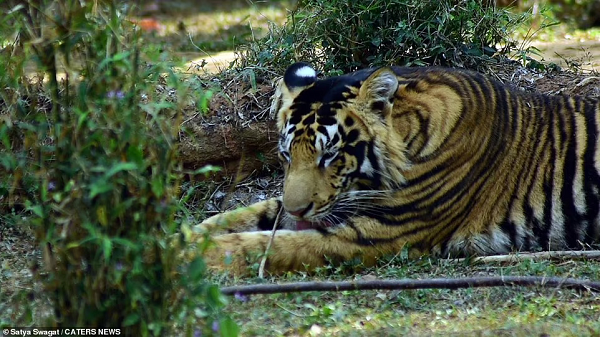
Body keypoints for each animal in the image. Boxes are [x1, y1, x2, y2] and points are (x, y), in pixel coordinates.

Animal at [191, 61, 600, 274]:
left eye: (329, 155)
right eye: (288, 155)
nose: (298, 210)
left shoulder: (379, 231)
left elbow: (265, 245)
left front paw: (184, 258)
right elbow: (237, 218)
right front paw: (185, 236)